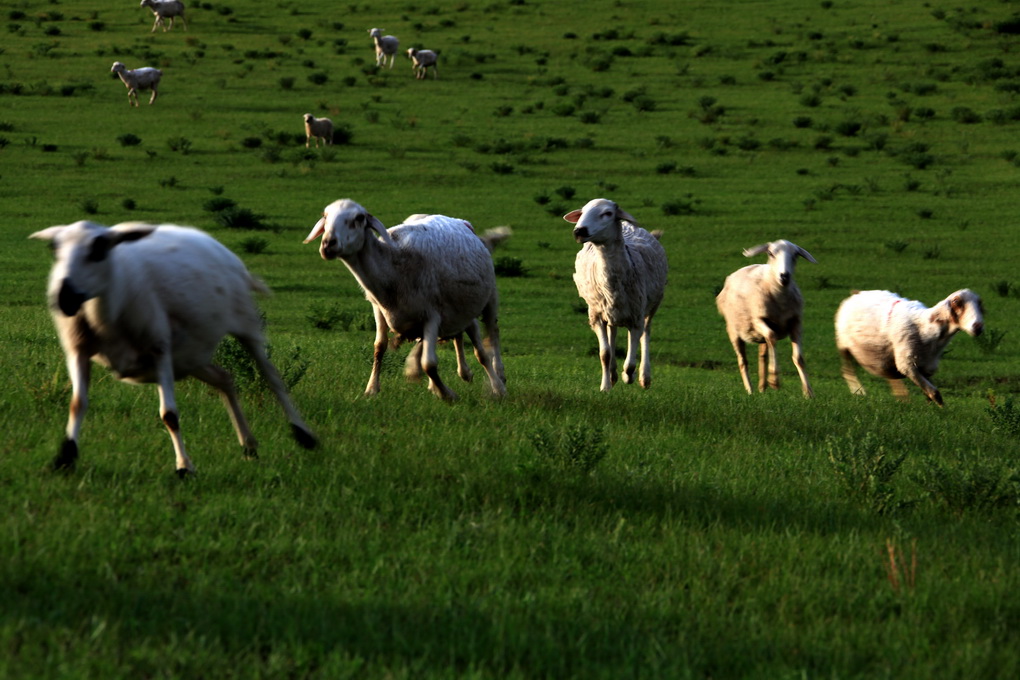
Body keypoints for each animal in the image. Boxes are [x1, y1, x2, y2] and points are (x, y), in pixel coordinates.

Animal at [29, 221, 316, 477]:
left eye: (99, 248)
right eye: (54, 249)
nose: (63, 297)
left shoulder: (160, 350)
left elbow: (169, 415)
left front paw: (184, 467)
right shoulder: (77, 350)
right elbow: (77, 404)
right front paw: (65, 458)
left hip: (244, 323)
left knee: (272, 377)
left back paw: (304, 435)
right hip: (191, 355)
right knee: (225, 378)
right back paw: (249, 445)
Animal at [303, 196, 507, 401]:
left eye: (359, 218)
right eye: (325, 216)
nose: (328, 244)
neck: (393, 267)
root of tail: (460, 222)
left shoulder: (432, 316)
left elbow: (429, 363)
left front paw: (448, 394)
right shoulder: (379, 310)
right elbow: (379, 348)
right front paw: (372, 388)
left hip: (489, 297)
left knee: (491, 334)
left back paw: (498, 380)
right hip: (459, 307)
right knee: (463, 333)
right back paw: (456, 375)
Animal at [567, 196, 669, 391]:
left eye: (608, 213)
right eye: (582, 212)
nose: (579, 231)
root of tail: (628, 225)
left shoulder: (636, 318)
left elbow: (630, 362)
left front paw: (629, 377)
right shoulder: (596, 315)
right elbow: (605, 353)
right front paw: (605, 386)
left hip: (652, 305)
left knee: (646, 334)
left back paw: (644, 377)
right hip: (610, 312)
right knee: (612, 333)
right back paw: (613, 374)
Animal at [832, 285, 983, 403]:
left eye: (980, 304)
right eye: (957, 302)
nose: (978, 327)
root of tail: (857, 294)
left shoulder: (926, 365)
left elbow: (928, 389)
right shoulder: (907, 364)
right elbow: (933, 392)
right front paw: (940, 407)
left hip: (884, 355)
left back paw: (901, 397)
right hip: (843, 344)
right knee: (847, 370)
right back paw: (859, 392)